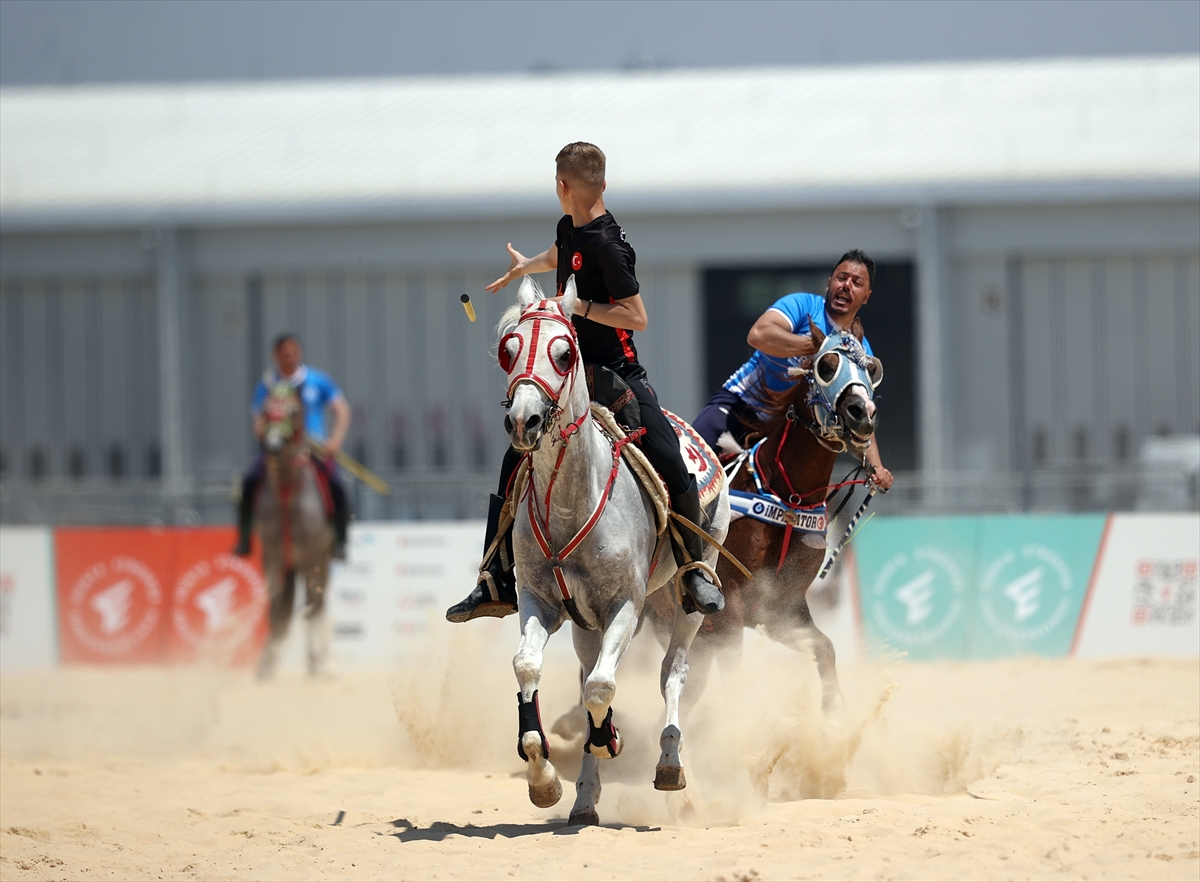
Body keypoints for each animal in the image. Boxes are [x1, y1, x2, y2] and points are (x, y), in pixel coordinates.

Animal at [253, 384, 336, 681]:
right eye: (266, 410)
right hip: (290, 566)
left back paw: (320, 662)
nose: (274, 447)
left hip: (321, 562)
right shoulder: (272, 557)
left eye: (294, 412)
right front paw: (265, 668)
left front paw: (315, 664)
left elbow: (311, 608)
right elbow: (276, 610)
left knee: (318, 605)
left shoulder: (312, 557)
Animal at [499, 276, 729, 825]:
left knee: (672, 674)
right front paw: (544, 778)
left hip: (689, 597)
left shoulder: (626, 604)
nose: (523, 421)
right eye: (508, 350)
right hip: (588, 624)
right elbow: (530, 668)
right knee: (590, 672)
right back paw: (584, 798)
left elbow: (603, 687)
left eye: (564, 353)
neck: (569, 500)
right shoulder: (539, 600)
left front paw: (610, 739)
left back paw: (669, 763)